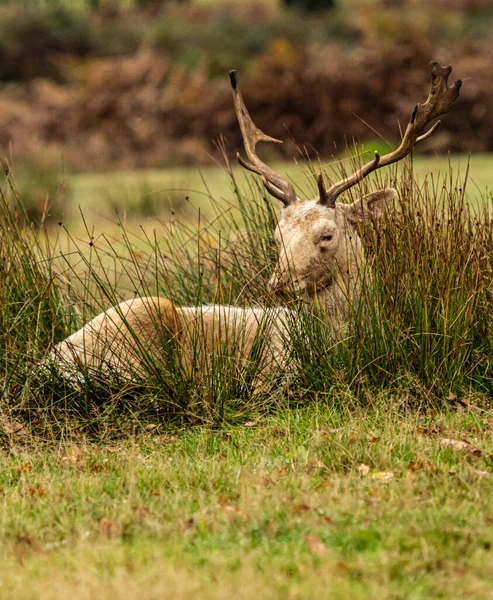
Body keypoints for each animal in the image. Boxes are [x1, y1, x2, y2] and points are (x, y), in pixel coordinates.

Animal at [52, 61, 460, 384]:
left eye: (327, 235)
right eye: (276, 236)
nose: (278, 283)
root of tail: (49, 362)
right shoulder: (268, 375)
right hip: (143, 315)